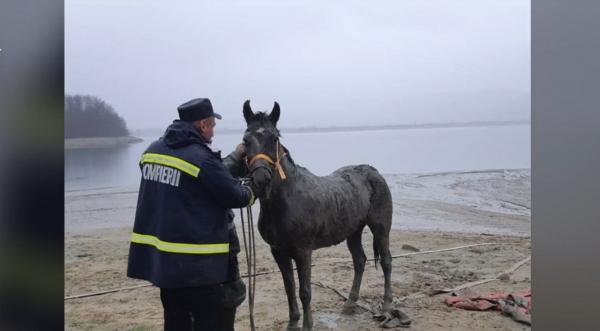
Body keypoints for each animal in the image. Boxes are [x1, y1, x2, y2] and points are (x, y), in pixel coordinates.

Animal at [239, 102, 394, 331]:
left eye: (274, 138)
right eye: (245, 140)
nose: (260, 178)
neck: (286, 200)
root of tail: (373, 172)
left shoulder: (303, 251)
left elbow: (305, 291)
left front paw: (307, 325)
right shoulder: (278, 251)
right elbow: (289, 287)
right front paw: (292, 323)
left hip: (381, 228)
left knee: (386, 262)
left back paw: (387, 305)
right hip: (353, 231)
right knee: (359, 261)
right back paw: (349, 304)